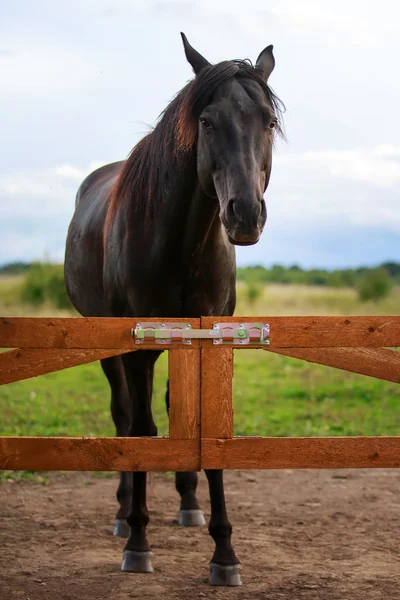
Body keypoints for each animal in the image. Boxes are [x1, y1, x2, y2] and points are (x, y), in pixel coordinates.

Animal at [65, 34, 284, 584]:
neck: (183, 245)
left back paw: (188, 504)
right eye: (206, 121)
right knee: (125, 417)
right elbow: (142, 430)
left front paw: (224, 553)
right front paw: (138, 542)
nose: (244, 214)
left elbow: (206, 429)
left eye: (267, 122)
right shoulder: (137, 350)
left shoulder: (210, 342)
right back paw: (124, 512)